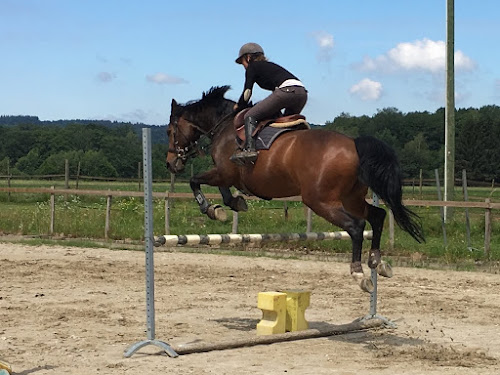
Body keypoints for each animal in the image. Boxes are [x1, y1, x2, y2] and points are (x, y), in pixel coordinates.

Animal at [166, 86, 424, 294]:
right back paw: (377, 262)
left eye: (170, 131)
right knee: (377, 216)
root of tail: (354, 144)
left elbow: (195, 181)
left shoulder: (224, 172)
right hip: (351, 198)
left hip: (320, 201)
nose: (170, 164)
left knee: (356, 226)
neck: (225, 126)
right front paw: (230, 205)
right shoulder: (226, 174)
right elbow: (224, 192)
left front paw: (210, 209)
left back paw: (359, 273)